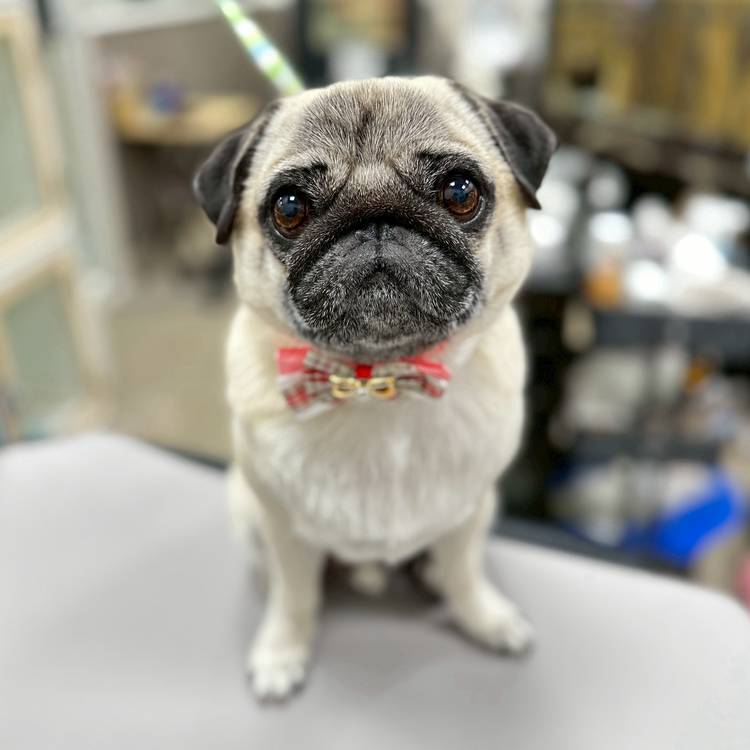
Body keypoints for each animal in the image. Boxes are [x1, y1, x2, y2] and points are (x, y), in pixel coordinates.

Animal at [193, 76, 556, 700]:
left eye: (460, 192)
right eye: (290, 207)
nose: (375, 217)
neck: (378, 379)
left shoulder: (470, 513)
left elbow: (465, 571)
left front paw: (484, 617)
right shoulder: (282, 528)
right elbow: (296, 596)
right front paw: (281, 651)